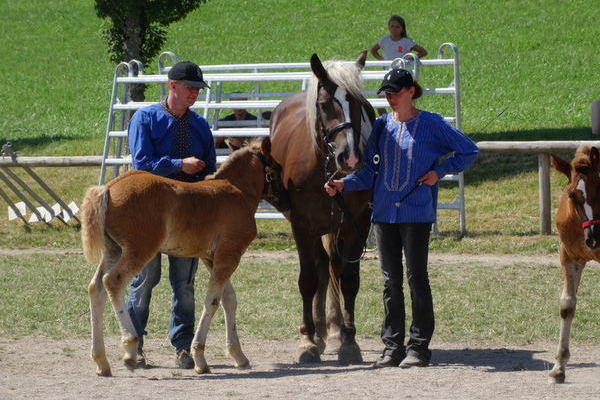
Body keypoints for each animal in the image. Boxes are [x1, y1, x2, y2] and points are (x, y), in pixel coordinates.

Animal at [79, 137, 282, 376]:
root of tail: (108, 188)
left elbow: (229, 299)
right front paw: (200, 358)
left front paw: (239, 356)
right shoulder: (229, 255)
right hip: (139, 250)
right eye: (276, 166)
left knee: (96, 288)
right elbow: (212, 301)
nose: (284, 194)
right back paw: (130, 350)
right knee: (112, 281)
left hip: (114, 251)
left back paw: (101, 360)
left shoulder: (211, 258)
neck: (237, 191)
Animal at [270, 51, 376, 364]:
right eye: (325, 104)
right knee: (320, 267)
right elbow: (307, 280)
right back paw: (317, 332)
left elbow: (349, 280)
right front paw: (307, 340)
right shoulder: (302, 225)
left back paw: (335, 328)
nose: (350, 157)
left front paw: (349, 341)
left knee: (333, 268)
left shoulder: (357, 222)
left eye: (360, 104)